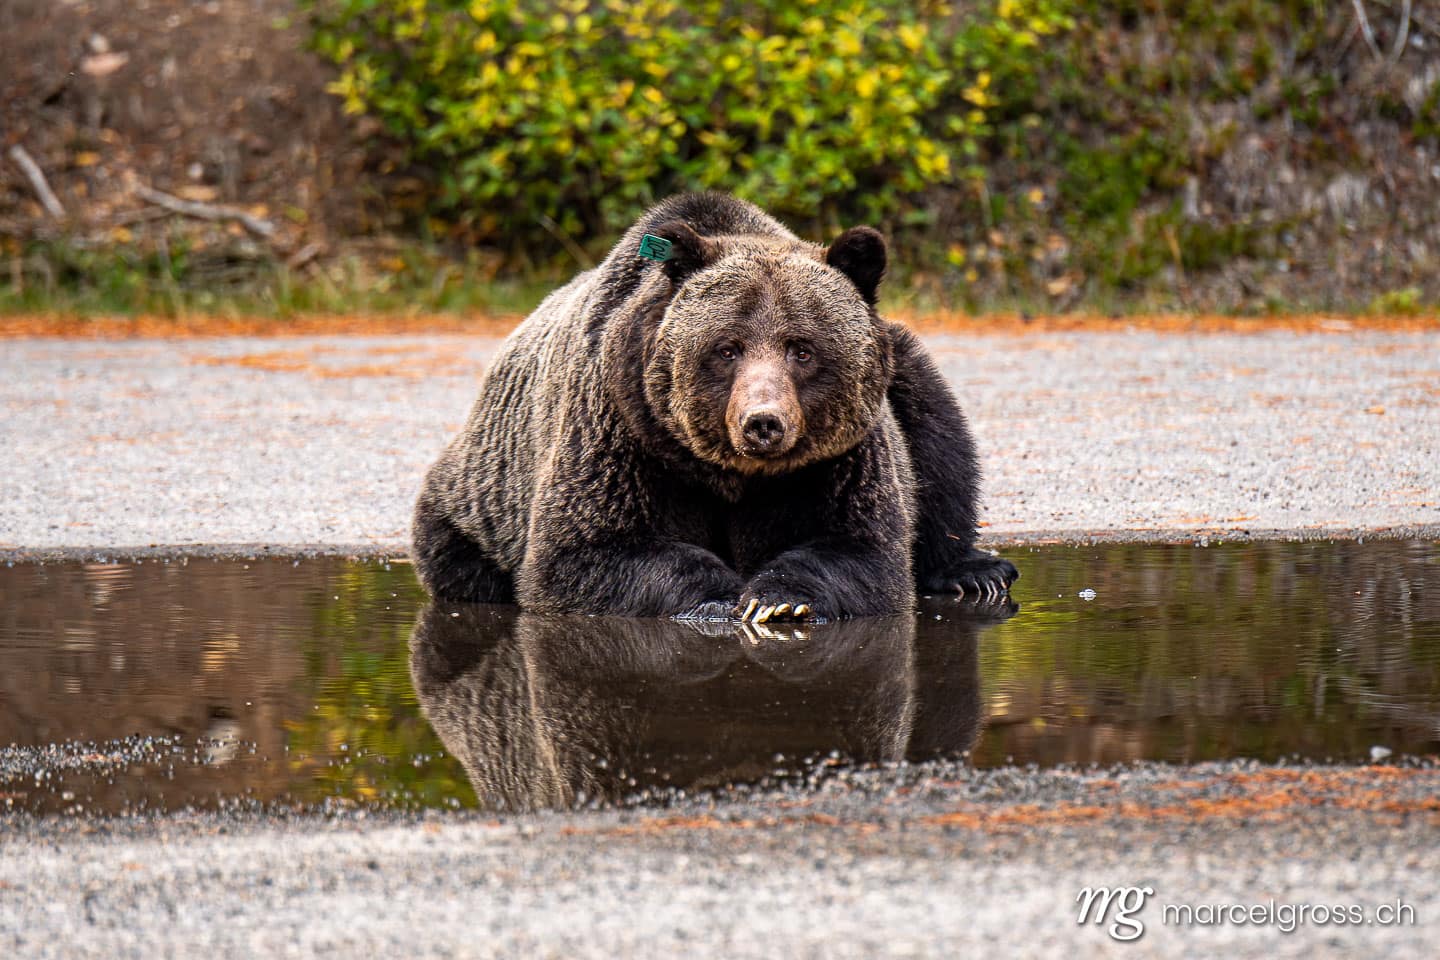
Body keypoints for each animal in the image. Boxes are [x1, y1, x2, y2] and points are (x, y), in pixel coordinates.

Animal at [412, 192, 1016, 620]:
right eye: (727, 348)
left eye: (802, 349)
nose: (763, 423)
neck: (732, 474)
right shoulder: (621, 431)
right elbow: (586, 552)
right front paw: (722, 598)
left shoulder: (840, 459)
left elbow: (861, 547)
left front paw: (774, 598)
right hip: (476, 499)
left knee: (938, 436)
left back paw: (974, 570)